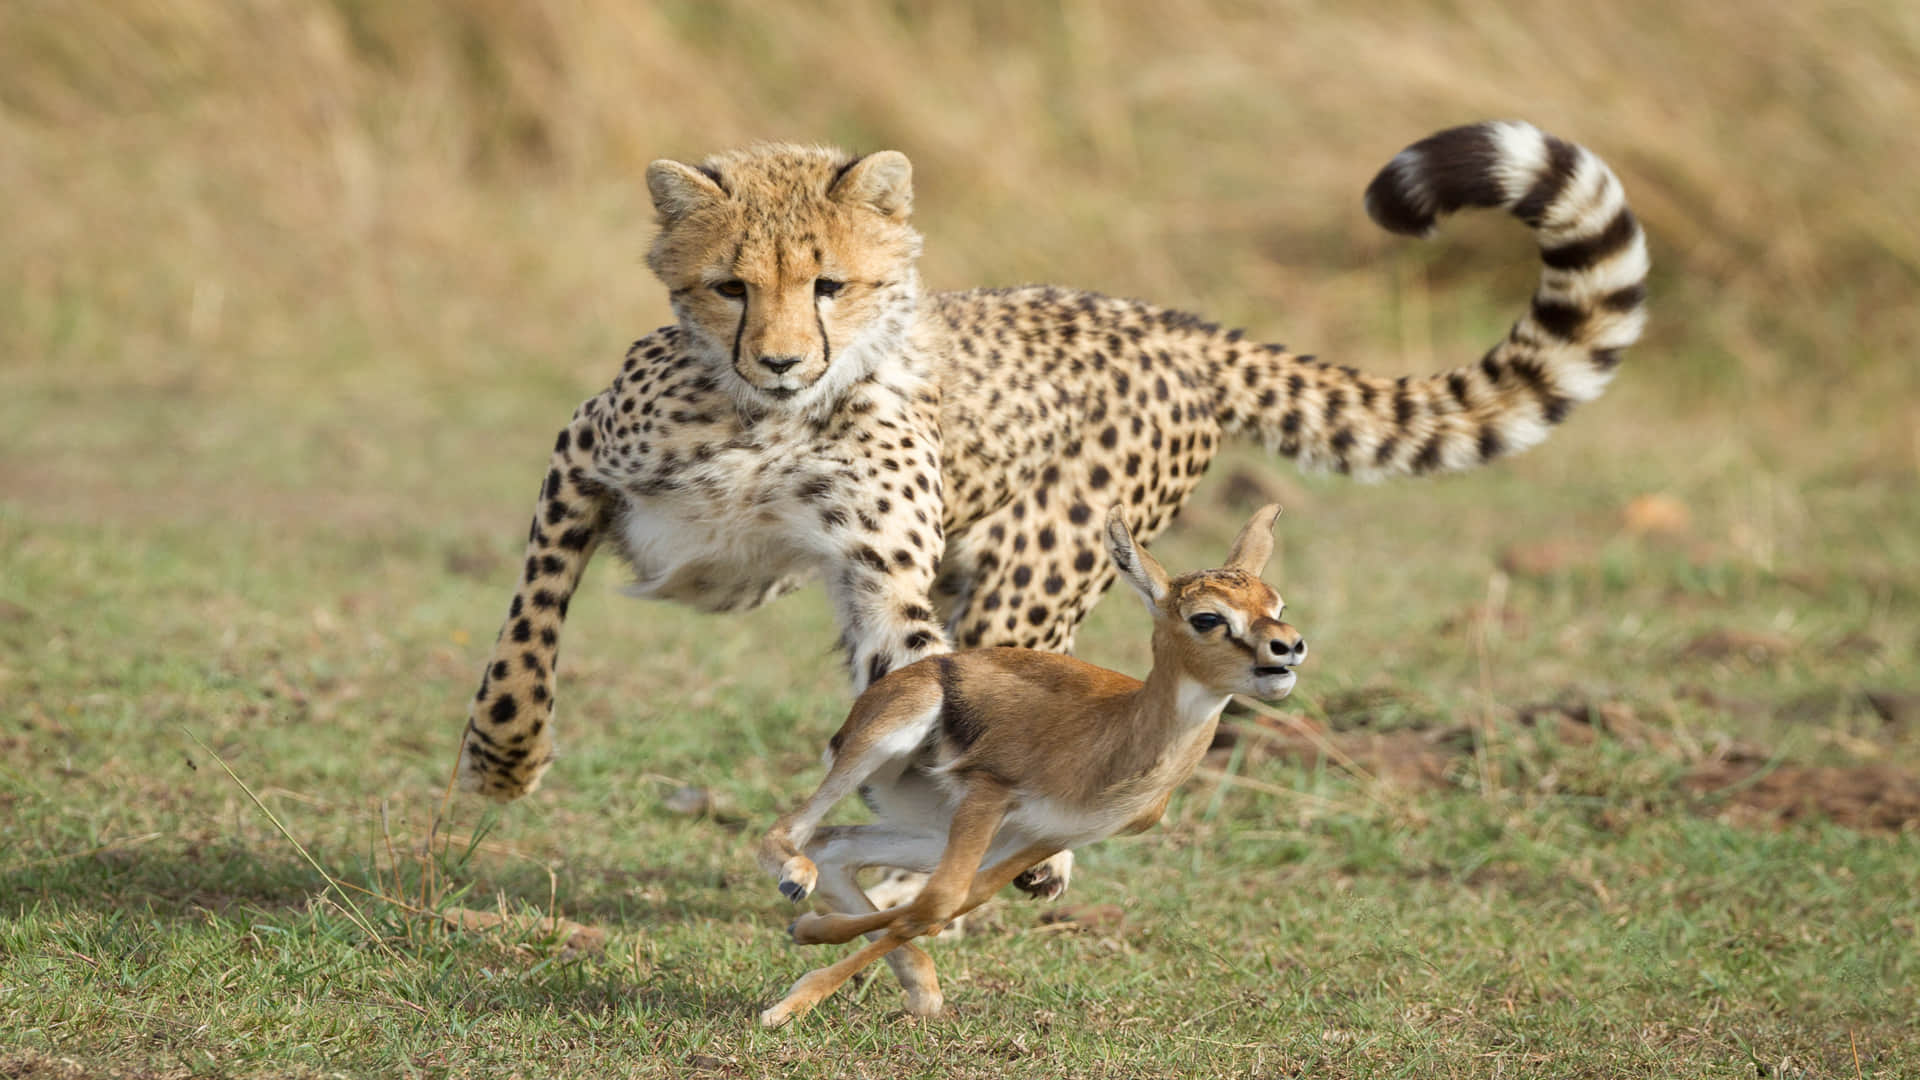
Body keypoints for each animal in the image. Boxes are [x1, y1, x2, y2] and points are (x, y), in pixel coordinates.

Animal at [456, 120, 1647, 901]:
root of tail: (1169, 322)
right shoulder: (583, 460)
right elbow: (528, 630)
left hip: (1033, 579)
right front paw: (503, 757)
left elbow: (915, 686)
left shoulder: (884, 580)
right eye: (731, 287)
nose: (788, 360)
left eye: (831, 284)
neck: (766, 418)